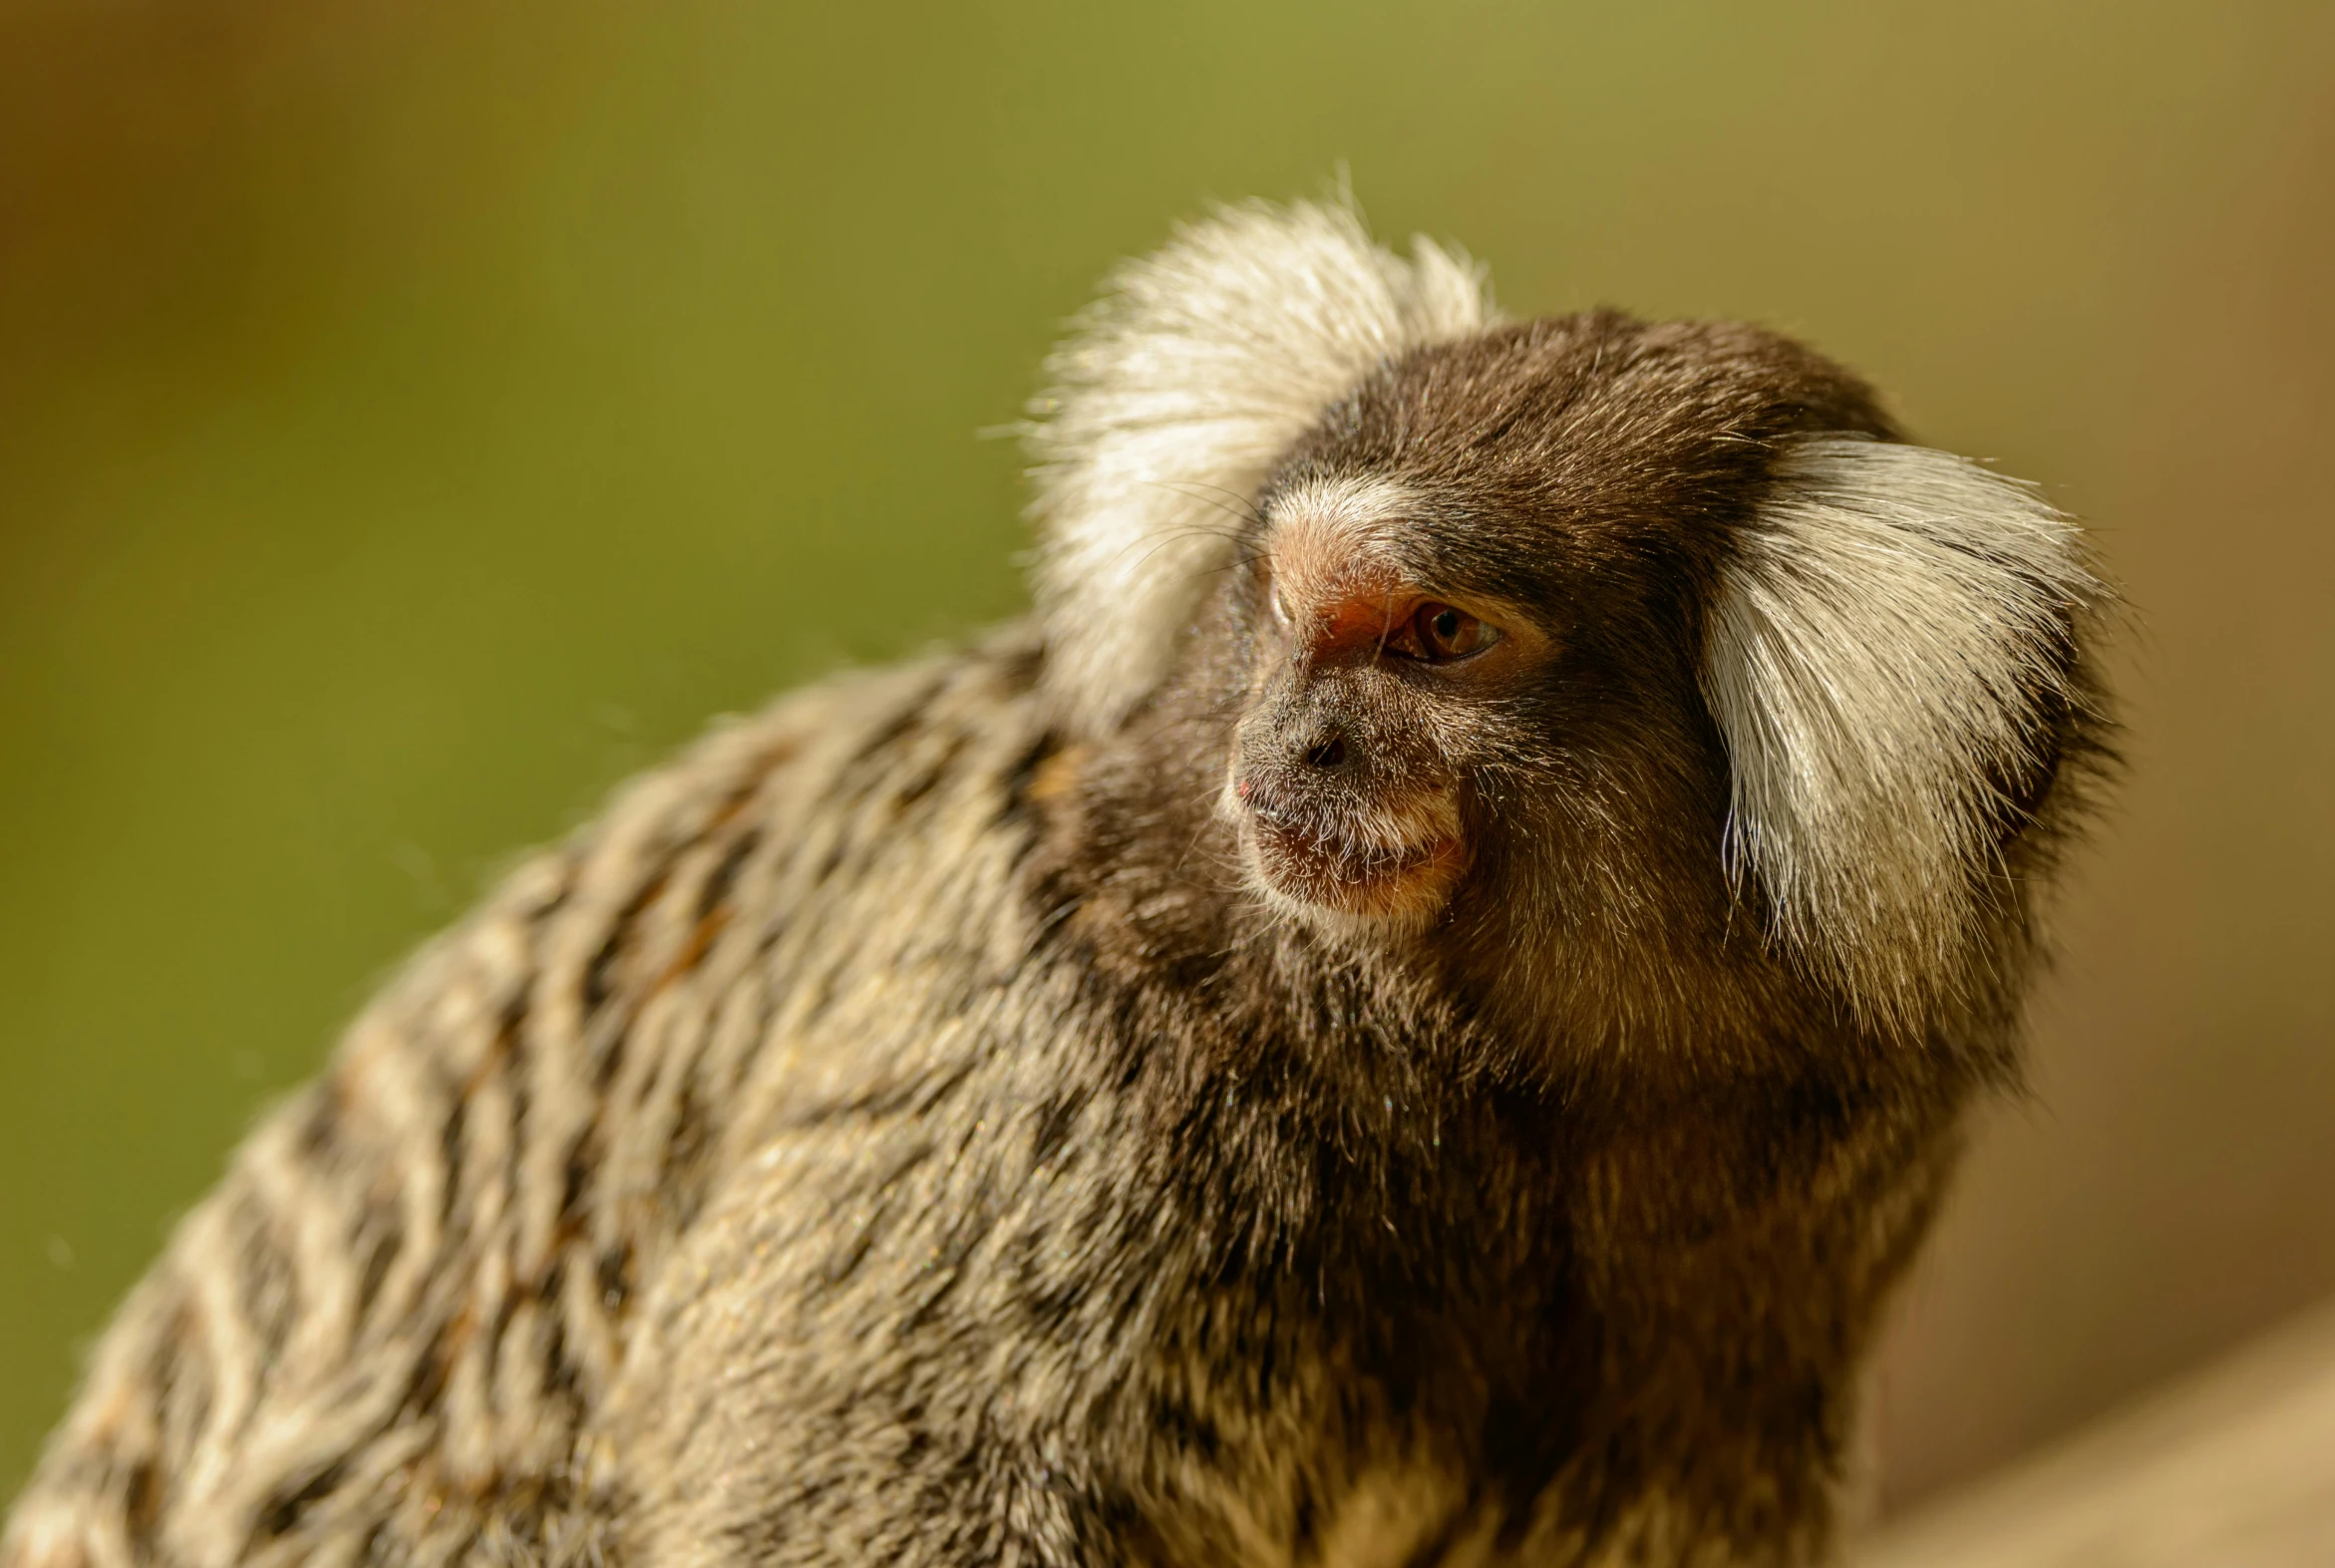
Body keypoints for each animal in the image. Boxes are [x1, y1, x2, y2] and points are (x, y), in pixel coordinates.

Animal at [0, 201, 2111, 1558]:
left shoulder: (1775, 1257)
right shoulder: (1050, 1041)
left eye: (1439, 637)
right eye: (1290, 615)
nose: (1293, 752)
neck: (1490, 1087)